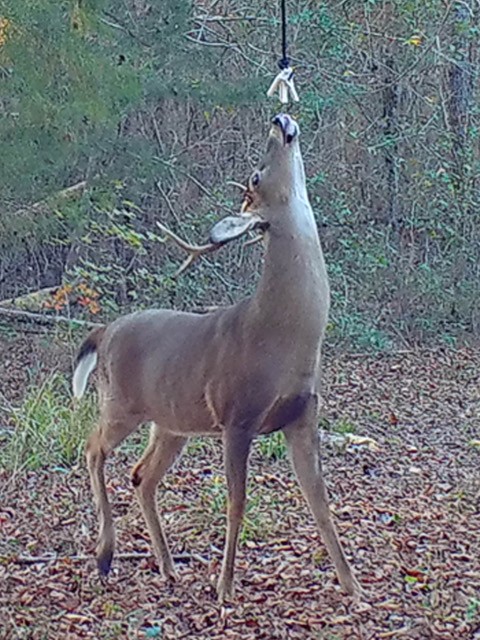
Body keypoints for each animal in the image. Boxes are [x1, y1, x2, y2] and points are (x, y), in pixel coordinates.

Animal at [72, 113, 360, 602]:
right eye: (256, 175)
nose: (279, 118)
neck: (284, 339)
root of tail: (103, 331)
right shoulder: (236, 415)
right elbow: (236, 500)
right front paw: (225, 586)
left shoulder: (303, 414)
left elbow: (319, 498)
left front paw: (351, 583)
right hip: (120, 404)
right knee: (92, 449)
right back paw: (105, 555)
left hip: (171, 422)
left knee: (142, 475)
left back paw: (169, 567)